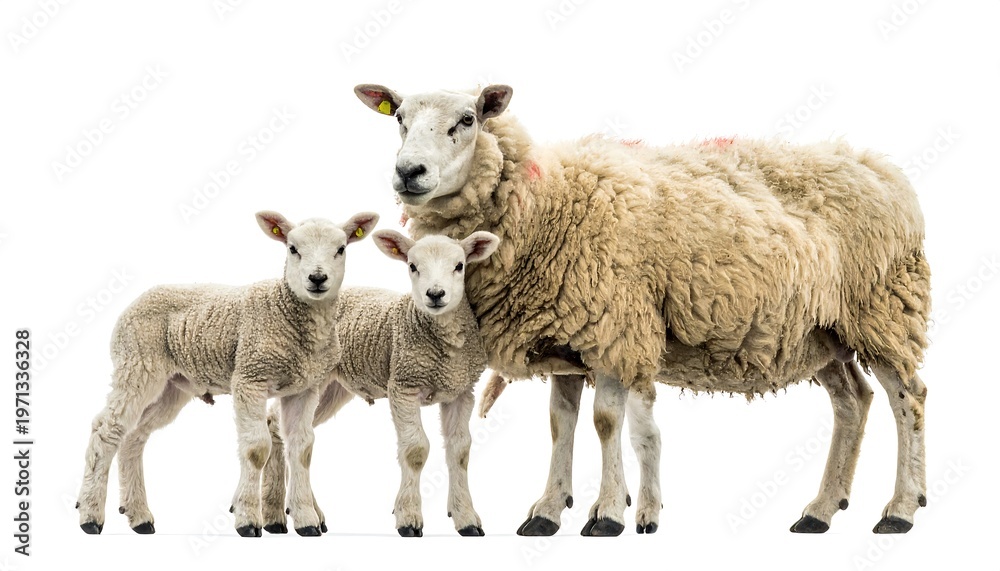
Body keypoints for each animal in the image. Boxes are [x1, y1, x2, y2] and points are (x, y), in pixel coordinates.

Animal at [75, 210, 379, 537]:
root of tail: (134, 302)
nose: (317, 278)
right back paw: (90, 515)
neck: (289, 314)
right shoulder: (250, 377)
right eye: (292, 248)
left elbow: (302, 450)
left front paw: (306, 520)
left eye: (341, 249)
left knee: (133, 436)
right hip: (138, 364)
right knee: (107, 430)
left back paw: (139, 517)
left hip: (171, 386)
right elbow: (257, 448)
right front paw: (248, 520)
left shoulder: (305, 387)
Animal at [260, 230, 500, 537]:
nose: (435, 295)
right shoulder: (403, 385)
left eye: (460, 266)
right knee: (278, 425)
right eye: (412, 266)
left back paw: (301, 512)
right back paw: (278, 514)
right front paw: (409, 517)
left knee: (286, 430)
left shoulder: (460, 391)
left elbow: (460, 452)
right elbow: (415, 449)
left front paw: (466, 518)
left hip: (331, 389)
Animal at [353, 83, 931, 536]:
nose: (408, 172)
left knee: (909, 398)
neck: (545, 202)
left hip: (884, 310)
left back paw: (901, 508)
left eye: (467, 120)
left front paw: (607, 513)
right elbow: (561, 423)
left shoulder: (615, 329)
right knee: (853, 402)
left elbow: (607, 422)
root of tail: (879, 165)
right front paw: (548, 510)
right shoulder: (566, 337)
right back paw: (821, 510)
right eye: (399, 118)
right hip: (820, 332)